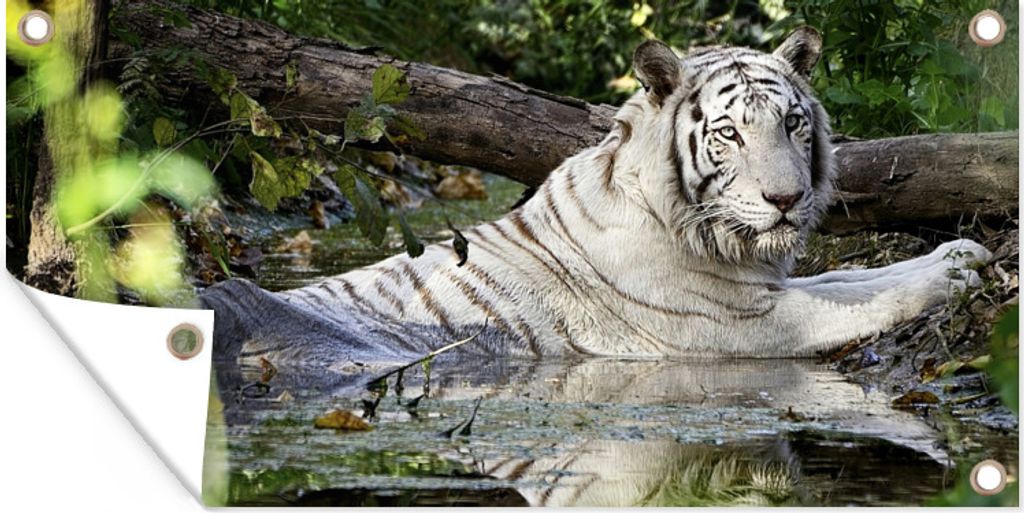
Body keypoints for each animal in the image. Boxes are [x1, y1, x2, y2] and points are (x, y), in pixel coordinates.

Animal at [203, 27, 992, 366]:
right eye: (730, 133)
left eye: (793, 124)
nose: (786, 199)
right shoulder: (736, 325)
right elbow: (860, 299)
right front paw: (954, 271)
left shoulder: (760, 289)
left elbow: (856, 276)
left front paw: (962, 250)